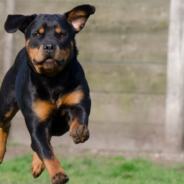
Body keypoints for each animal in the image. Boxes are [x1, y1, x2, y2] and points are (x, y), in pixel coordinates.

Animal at [0, 4, 95, 184]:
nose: (49, 46)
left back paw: (37, 164)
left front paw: (79, 131)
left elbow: (79, 116)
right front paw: (58, 174)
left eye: (62, 34)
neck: (53, 80)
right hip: (6, 104)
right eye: (37, 34)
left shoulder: (78, 101)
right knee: (6, 124)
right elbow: (46, 151)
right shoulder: (37, 122)